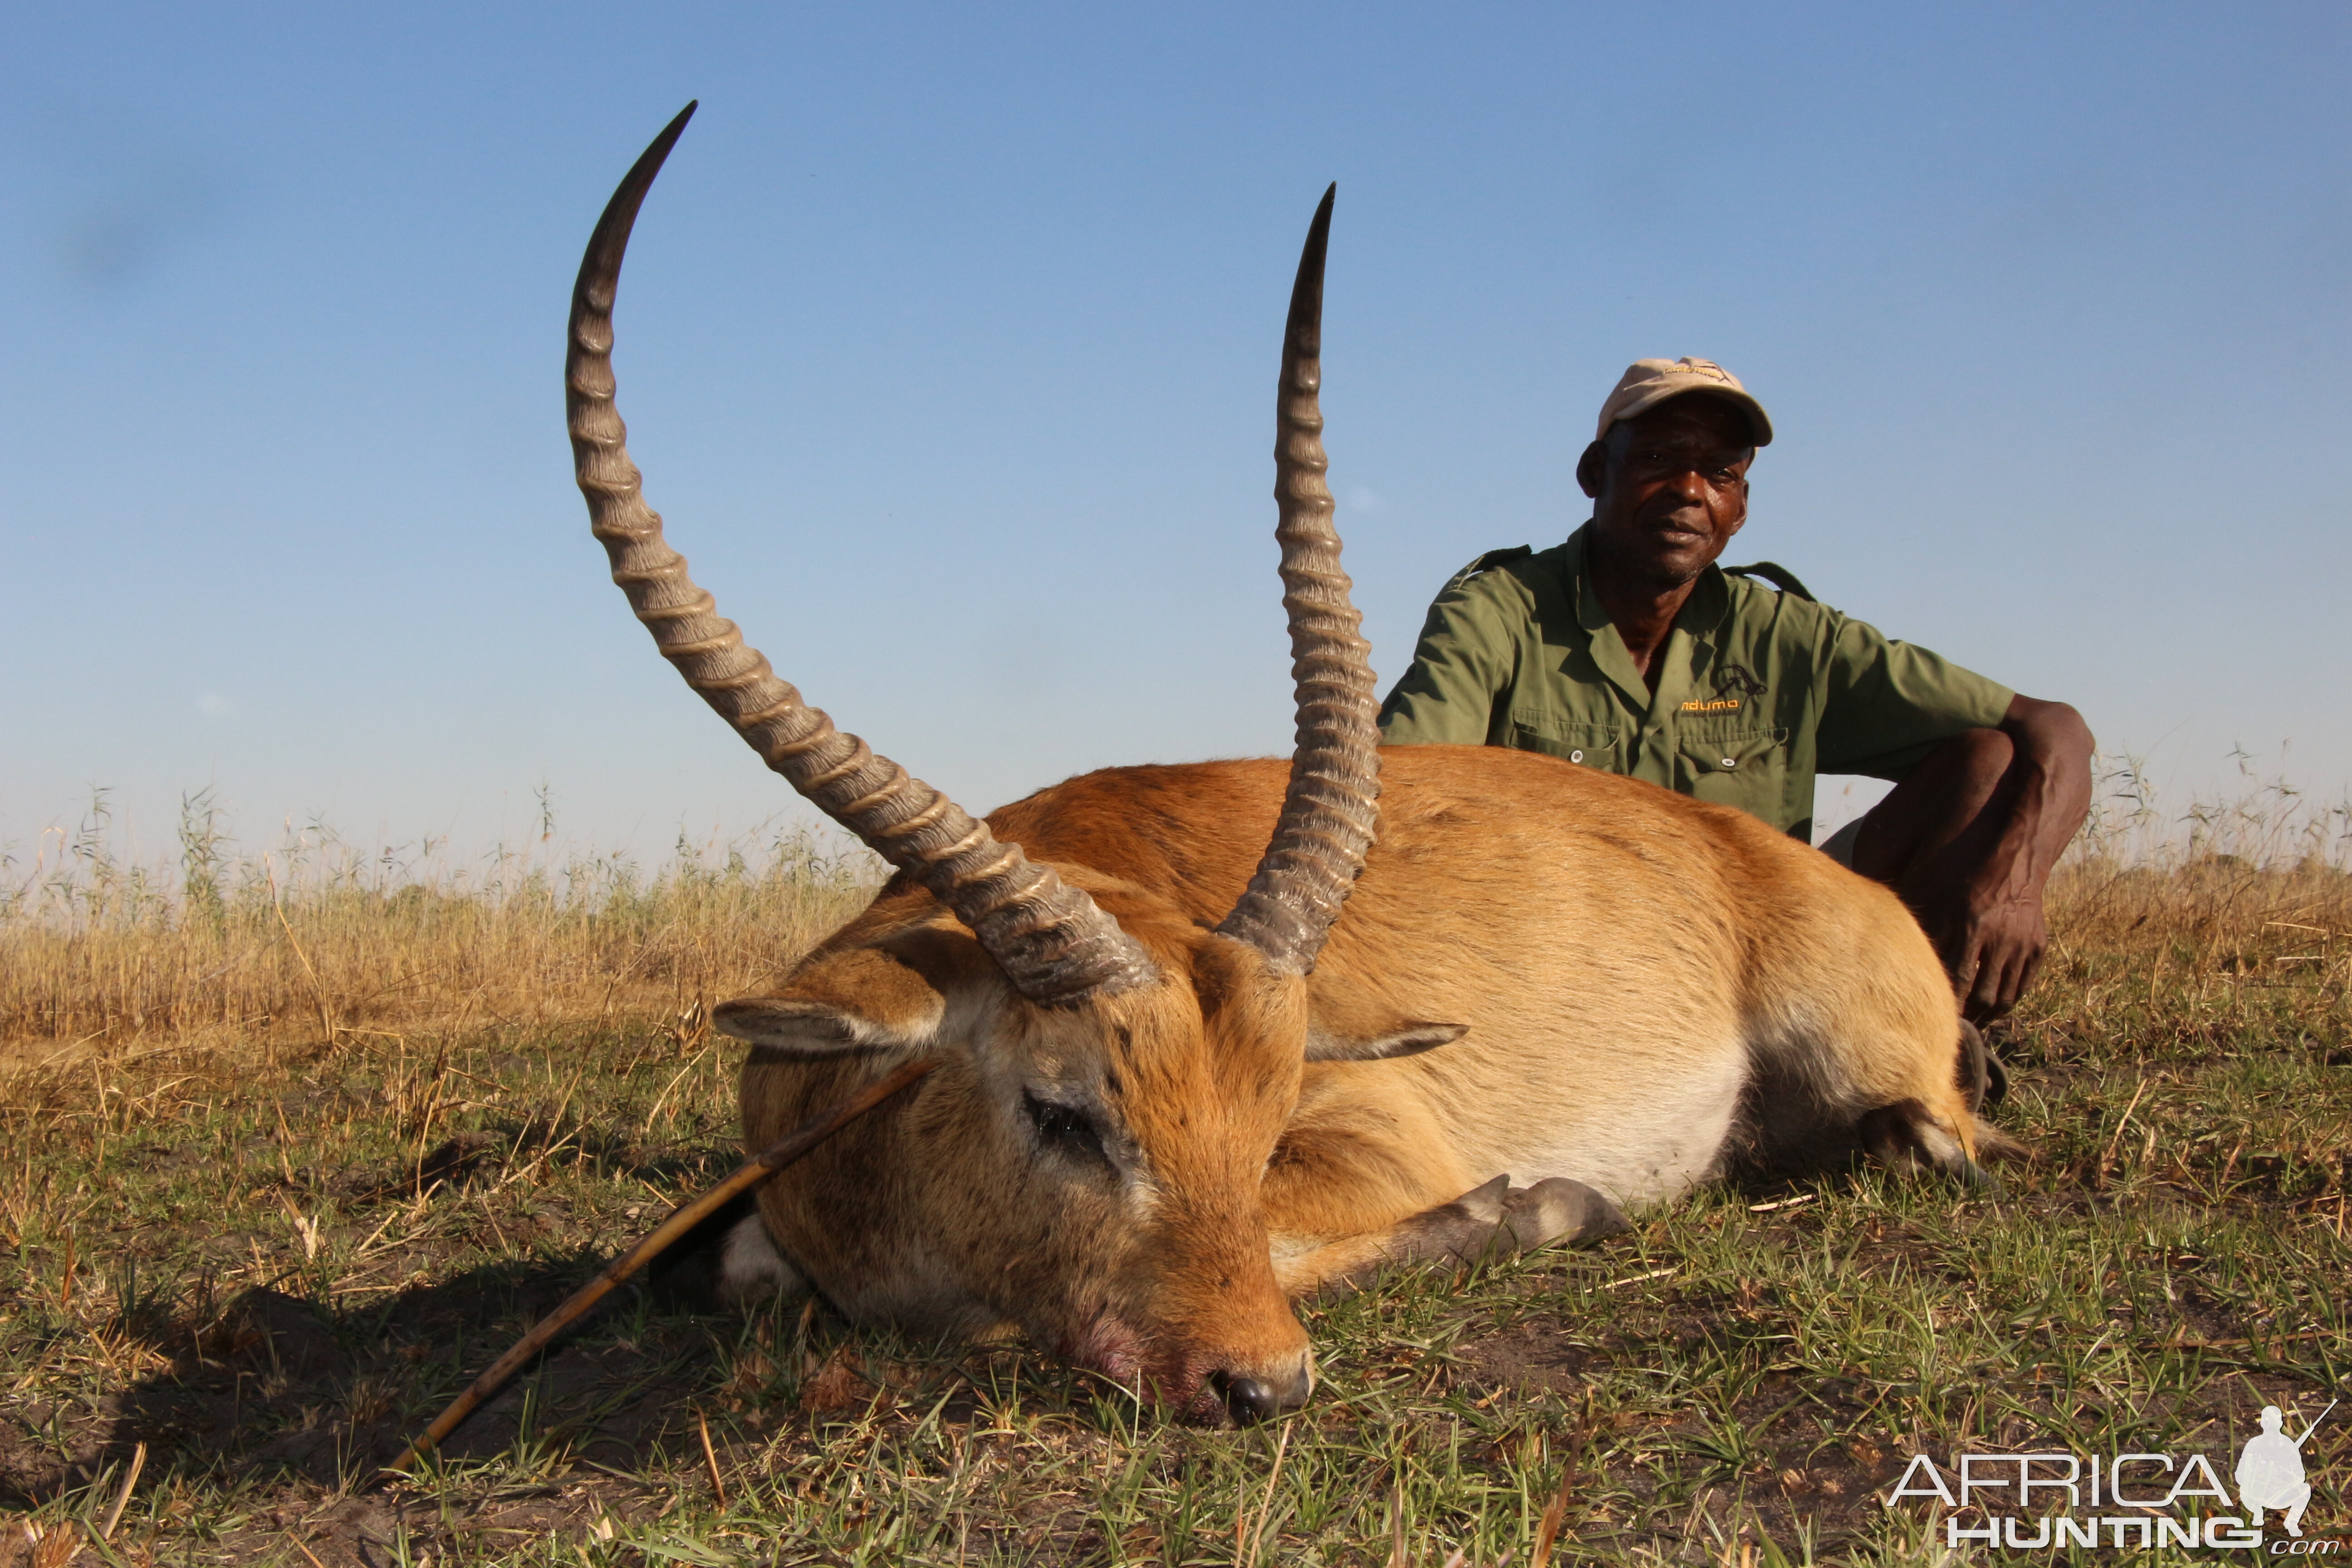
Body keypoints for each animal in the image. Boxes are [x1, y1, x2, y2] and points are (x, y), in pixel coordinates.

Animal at [564, 110, 2004, 1429]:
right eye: (1062, 1109)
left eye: (1265, 1118)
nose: (1260, 1383)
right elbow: (741, 1271)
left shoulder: (1370, 1137)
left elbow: (1328, 1233)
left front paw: (1541, 1200)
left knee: (1939, 1135)